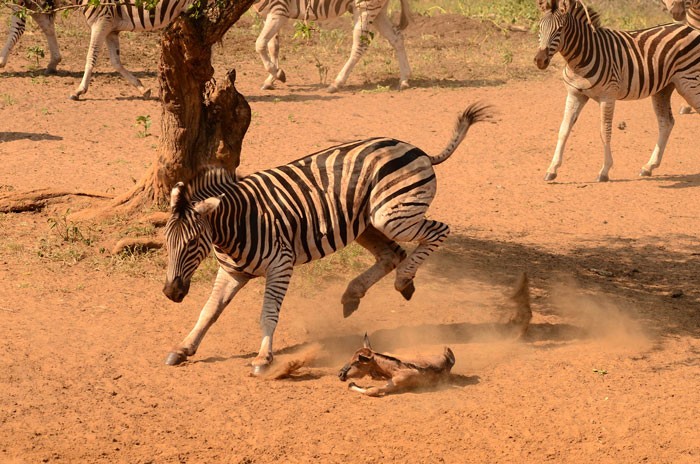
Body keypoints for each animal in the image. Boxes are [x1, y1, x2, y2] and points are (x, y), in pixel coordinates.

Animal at [0, 0, 194, 99]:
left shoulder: (101, 22)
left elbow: (90, 56)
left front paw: (79, 90)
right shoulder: (111, 28)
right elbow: (116, 62)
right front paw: (141, 88)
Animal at [163, 101, 492, 374]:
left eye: (193, 243)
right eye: (167, 244)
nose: (170, 292)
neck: (236, 225)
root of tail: (417, 149)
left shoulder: (281, 264)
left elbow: (267, 313)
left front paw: (263, 358)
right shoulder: (231, 271)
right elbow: (208, 311)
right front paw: (184, 348)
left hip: (391, 217)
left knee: (438, 231)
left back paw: (403, 280)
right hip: (366, 222)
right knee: (392, 254)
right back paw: (354, 294)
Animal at [252, 0, 410, 93]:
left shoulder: (279, 10)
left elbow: (259, 44)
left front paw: (277, 73)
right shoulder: (269, 13)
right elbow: (272, 46)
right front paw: (272, 78)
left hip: (364, 8)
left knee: (360, 45)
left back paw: (336, 83)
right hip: (378, 10)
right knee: (396, 38)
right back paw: (404, 80)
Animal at [536, 0, 700, 181]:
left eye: (559, 29)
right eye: (539, 28)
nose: (539, 60)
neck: (581, 58)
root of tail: (691, 29)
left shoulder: (607, 96)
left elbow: (604, 132)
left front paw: (604, 171)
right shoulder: (575, 94)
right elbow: (563, 130)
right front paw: (552, 169)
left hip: (690, 83)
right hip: (663, 89)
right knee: (666, 123)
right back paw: (649, 166)